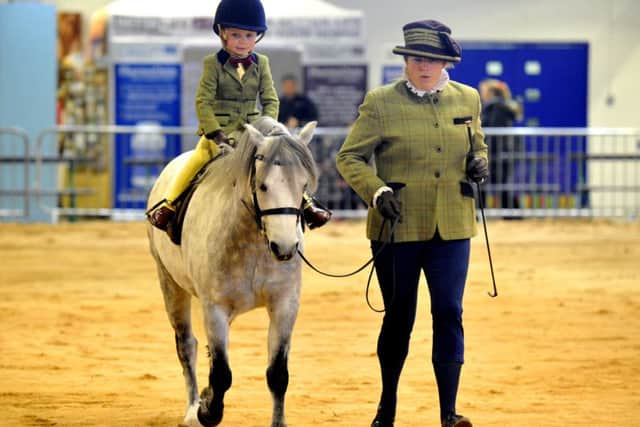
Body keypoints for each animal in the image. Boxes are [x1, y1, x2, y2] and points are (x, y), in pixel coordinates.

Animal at [144, 115, 316, 426]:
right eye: (262, 186)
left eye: (304, 185)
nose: (285, 247)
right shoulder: (215, 308)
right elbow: (222, 373)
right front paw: (207, 410)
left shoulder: (285, 305)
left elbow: (277, 374)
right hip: (170, 284)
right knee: (186, 345)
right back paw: (192, 409)